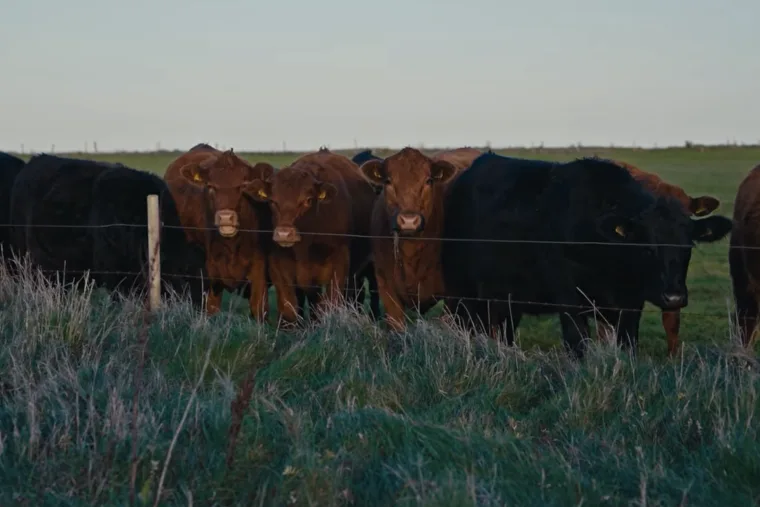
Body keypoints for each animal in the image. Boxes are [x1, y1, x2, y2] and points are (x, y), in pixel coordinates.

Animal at [164, 146, 275, 320]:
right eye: (211, 186)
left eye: (242, 186)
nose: (225, 217)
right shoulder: (209, 278)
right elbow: (210, 310)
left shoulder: (259, 273)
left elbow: (259, 311)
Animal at [247, 147, 379, 325]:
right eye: (272, 201)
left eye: (308, 200)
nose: (284, 234)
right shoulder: (278, 265)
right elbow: (289, 307)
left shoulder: (339, 264)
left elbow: (331, 303)